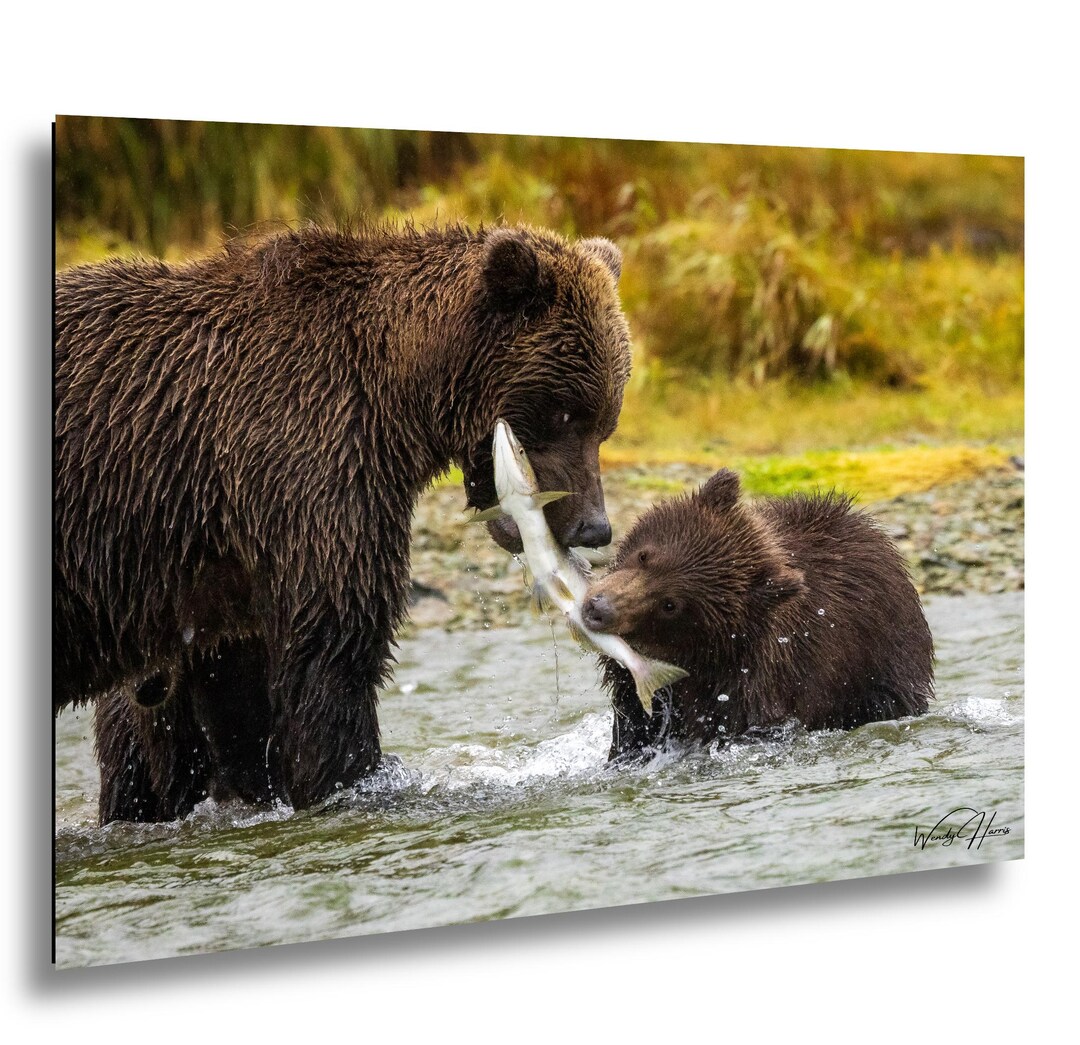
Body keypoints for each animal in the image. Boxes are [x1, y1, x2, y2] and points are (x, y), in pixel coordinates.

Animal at [54, 222, 631, 822]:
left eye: (604, 422)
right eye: (564, 412)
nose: (595, 527)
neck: (398, 397)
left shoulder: (216, 575)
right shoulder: (309, 465)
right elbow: (333, 639)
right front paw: (350, 775)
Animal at [580, 469, 934, 759]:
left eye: (671, 604)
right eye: (645, 556)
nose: (598, 608)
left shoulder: (760, 681)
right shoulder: (637, 689)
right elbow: (634, 728)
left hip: (881, 670)